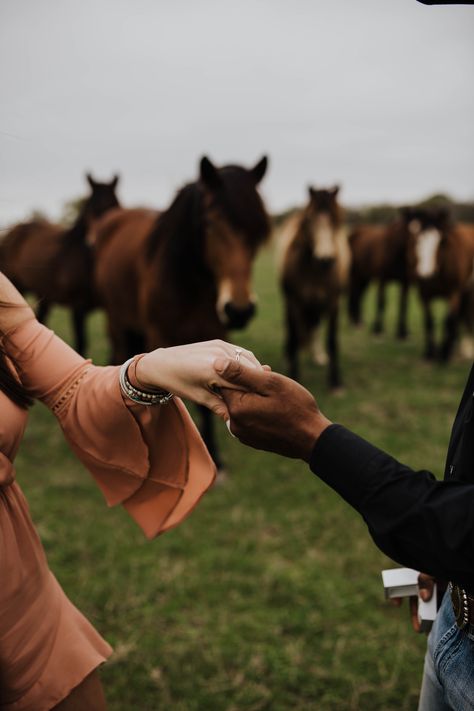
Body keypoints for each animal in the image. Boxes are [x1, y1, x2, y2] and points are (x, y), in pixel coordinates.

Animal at [0, 175, 118, 354]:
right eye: (91, 208)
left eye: (115, 205)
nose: (95, 244)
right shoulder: (78, 308)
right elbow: (81, 343)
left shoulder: (110, 311)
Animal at [94, 156, 268, 468]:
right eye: (211, 222)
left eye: (259, 230)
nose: (239, 310)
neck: (188, 284)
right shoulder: (159, 338)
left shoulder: (213, 333)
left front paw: (214, 456)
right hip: (117, 320)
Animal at [280, 186, 350, 390]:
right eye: (310, 220)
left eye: (336, 220)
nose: (325, 259)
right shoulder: (294, 301)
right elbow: (294, 337)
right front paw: (294, 375)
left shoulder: (333, 302)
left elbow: (332, 340)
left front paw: (335, 381)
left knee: (315, 326)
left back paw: (318, 355)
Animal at [406, 207, 474, 362]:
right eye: (416, 240)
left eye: (440, 241)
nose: (425, 275)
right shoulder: (423, 295)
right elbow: (429, 321)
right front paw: (430, 353)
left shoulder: (454, 294)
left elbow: (448, 320)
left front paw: (444, 354)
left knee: (466, 314)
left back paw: (466, 348)